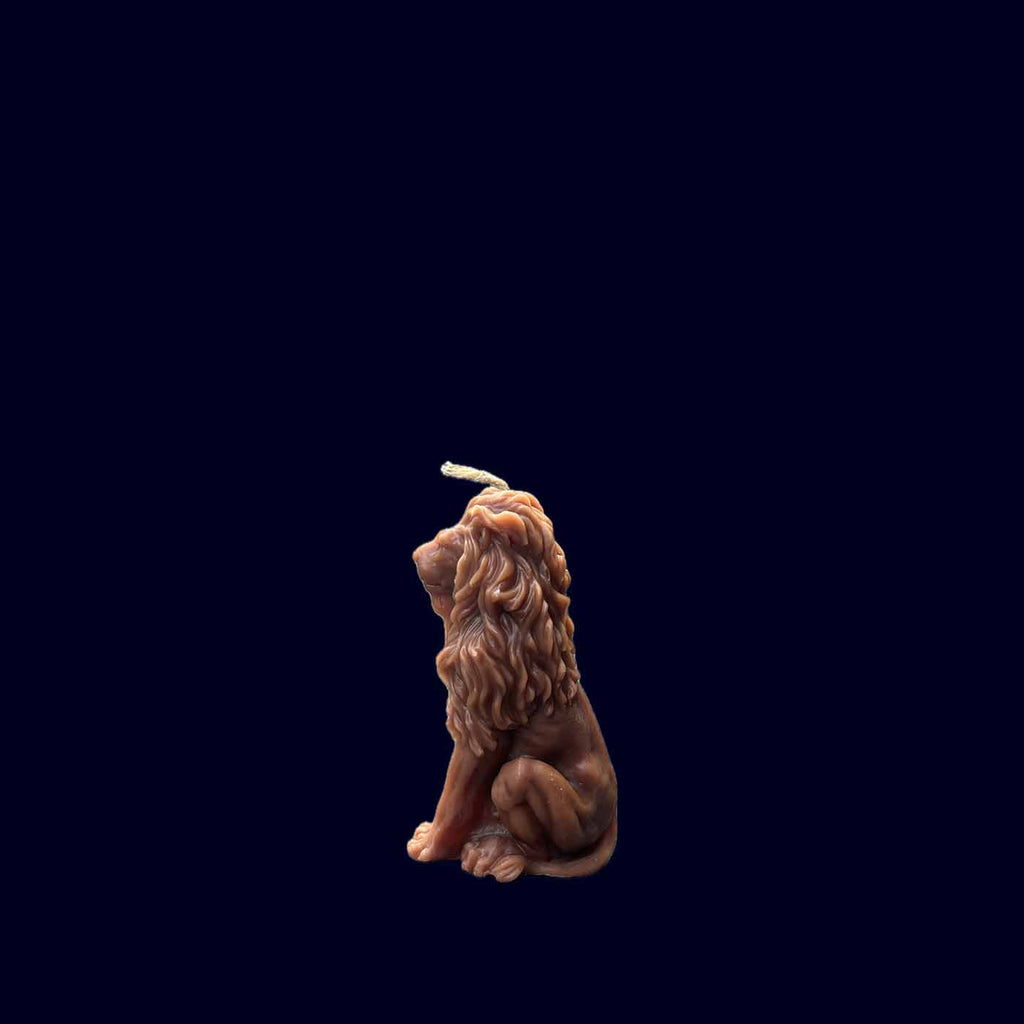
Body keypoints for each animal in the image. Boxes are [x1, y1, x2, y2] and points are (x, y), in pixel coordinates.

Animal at [407, 481, 617, 881]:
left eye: (458, 541)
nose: (416, 554)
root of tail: (611, 820)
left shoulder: (485, 725)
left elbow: (455, 798)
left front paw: (430, 846)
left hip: (558, 810)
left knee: (518, 787)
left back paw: (499, 853)